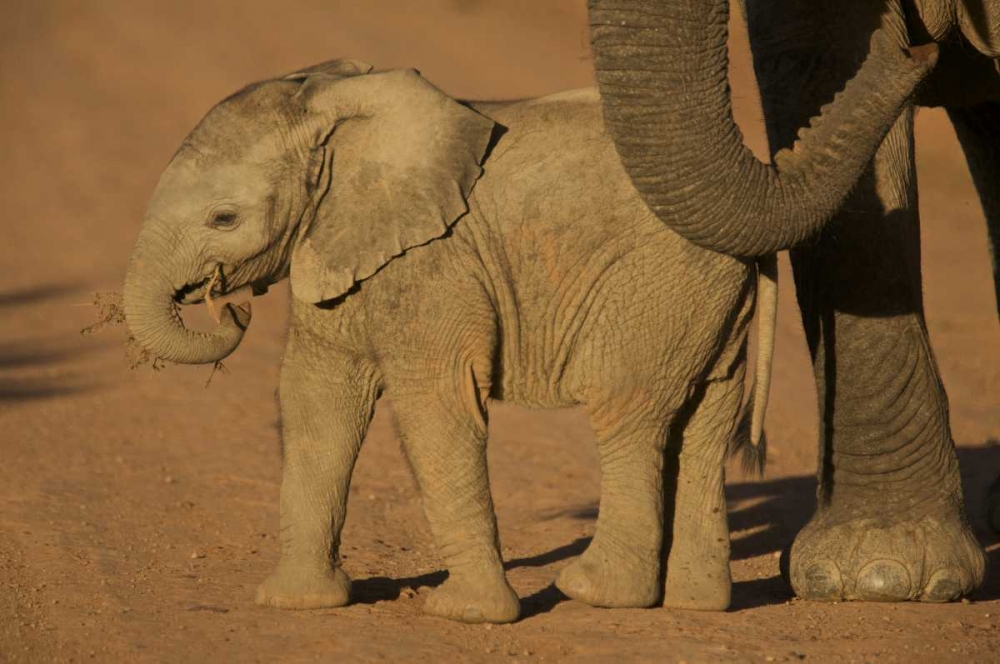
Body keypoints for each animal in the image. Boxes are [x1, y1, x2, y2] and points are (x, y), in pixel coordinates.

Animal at [122, 40, 930, 622]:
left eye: (223, 219)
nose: (222, 304)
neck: (340, 111)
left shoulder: (436, 264)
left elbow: (435, 406)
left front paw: (464, 616)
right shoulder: (339, 253)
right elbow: (316, 403)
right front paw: (293, 604)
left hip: (653, 286)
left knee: (629, 412)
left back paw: (593, 593)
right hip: (710, 300)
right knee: (704, 423)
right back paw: (696, 607)